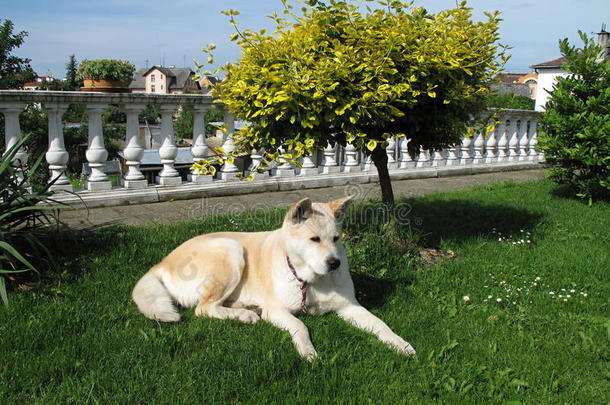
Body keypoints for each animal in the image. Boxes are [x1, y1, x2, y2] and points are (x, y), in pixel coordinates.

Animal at [131, 196, 416, 360]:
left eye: (336, 239)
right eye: (314, 239)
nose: (334, 263)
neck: (311, 281)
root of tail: (162, 262)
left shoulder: (350, 307)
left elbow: (381, 325)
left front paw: (400, 344)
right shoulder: (277, 312)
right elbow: (301, 326)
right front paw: (307, 351)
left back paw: (246, 307)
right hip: (232, 249)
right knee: (204, 308)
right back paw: (244, 315)